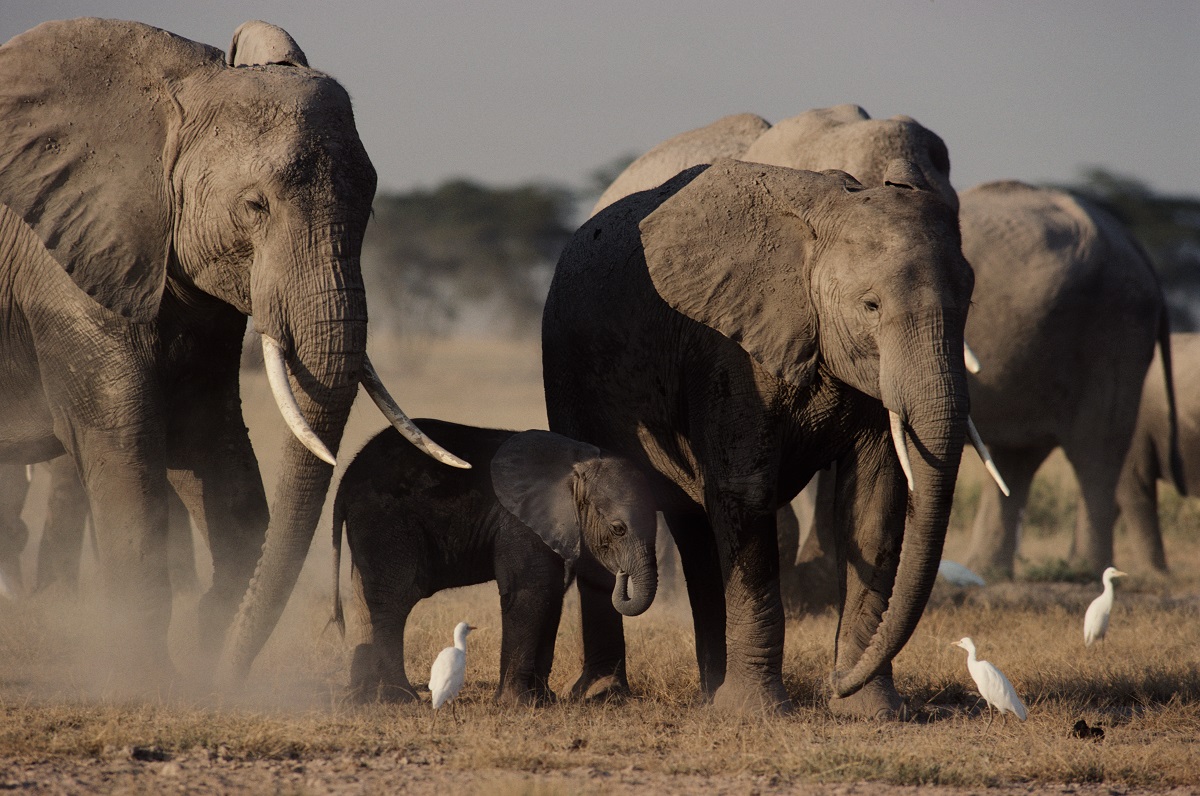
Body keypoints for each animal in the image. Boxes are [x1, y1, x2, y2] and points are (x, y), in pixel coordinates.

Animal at [0, 21, 463, 686]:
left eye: (371, 208)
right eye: (254, 207)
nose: (226, 676)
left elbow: (216, 453)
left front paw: (206, 650)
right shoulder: (66, 272)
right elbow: (126, 454)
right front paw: (152, 682)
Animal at [333, 420, 662, 705]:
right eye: (618, 529)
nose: (621, 574)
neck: (576, 464)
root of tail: (345, 481)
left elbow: (552, 595)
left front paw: (543, 701)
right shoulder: (519, 523)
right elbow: (531, 591)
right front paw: (516, 704)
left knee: (364, 597)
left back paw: (364, 696)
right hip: (386, 520)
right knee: (393, 599)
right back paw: (399, 697)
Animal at [544, 158, 974, 720]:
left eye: (969, 302)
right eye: (871, 306)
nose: (835, 682)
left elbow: (875, 502)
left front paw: (870, 711)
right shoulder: (728, 351)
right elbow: (744, 495)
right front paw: (758, 713)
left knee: (696, 529)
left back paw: (711, 694)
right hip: (565, 365)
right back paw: (606, 693)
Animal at [960, 180, 1176, 578]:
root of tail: (1133, 240)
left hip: (1114, 326)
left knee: (1096, 450)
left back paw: (1084, 571)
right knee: (1017, 457)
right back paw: (987, 572)